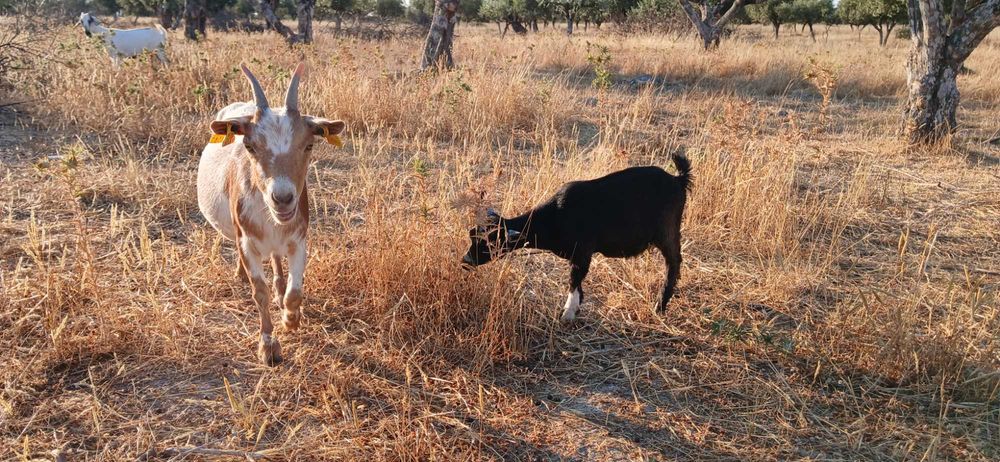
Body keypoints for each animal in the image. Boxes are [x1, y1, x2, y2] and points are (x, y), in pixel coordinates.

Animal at [197, 63, 346, 366]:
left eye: (309, 145)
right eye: (250, 146)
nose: (283, 199)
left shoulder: (298, 239)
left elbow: (295, 291)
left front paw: (290, 319)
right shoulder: (247, 242)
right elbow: (259, 292)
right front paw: (268, 347)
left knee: (277, 259)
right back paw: (241, 275)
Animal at [462, 156, 692, 321]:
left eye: (488, 243)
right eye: (472, 236)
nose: (465, 261)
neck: (555, 217)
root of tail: (678, 179)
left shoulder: (582, 253)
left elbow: (573, 280)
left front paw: (568, 314)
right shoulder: (578, 257)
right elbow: (578, 283)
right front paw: (576, 307)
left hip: (667, 231)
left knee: (674, 263)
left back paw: (660, 305)